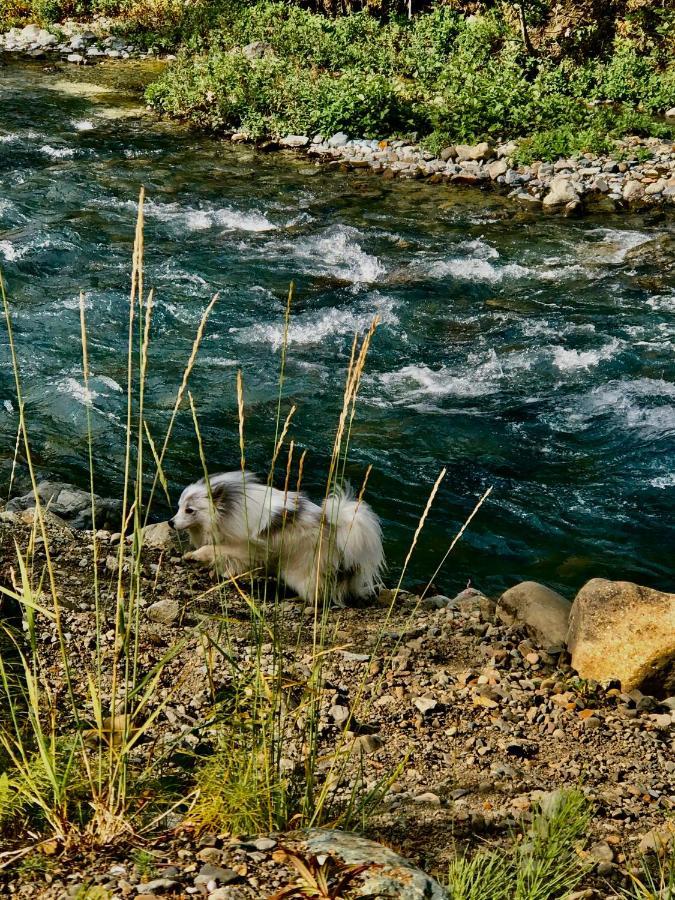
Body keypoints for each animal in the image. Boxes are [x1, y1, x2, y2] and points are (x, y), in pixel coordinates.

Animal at [168, 472, 382, 604]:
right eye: (179, 507)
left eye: (189, 510)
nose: (170, 522)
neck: (228, 510)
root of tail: (337, 528)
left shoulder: (244, 547)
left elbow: (212, 550)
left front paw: (193, 555)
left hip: (301, 569)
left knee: (319, 592)